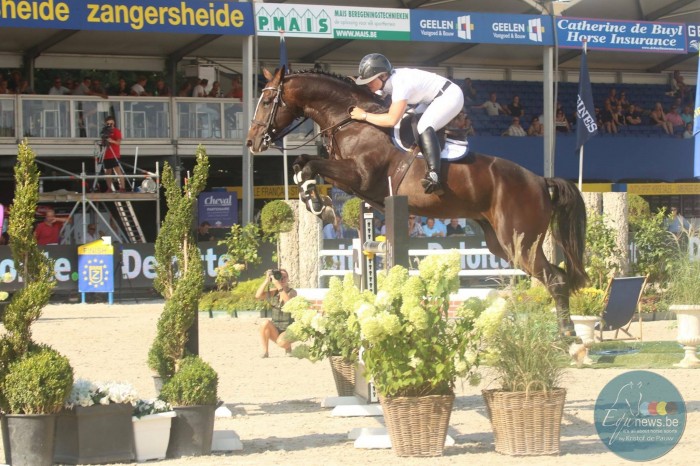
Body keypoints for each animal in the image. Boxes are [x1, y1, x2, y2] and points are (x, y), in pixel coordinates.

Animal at [246, 66, 584, 328]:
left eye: (267, 100)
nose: (252, 142)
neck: (351, 121)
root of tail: (539, 181)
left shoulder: (360, 175)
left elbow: (309, 165)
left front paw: (318, 204)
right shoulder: (352, 181)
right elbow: (302, 164)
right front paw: (318, 203)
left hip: (520, 241)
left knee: (555, 279)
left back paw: (566, 339)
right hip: (501, 244)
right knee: (555, 277)